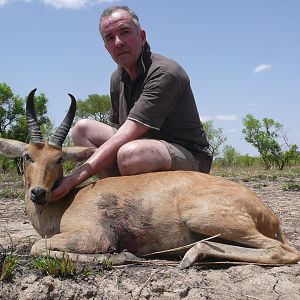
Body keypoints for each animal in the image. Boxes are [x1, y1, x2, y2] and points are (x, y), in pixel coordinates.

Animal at [0, 88, 300, 268]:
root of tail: (269, 214)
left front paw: (123, 255)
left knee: (282, 251)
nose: (39, 193)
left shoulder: (93, 234)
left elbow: (38, 246)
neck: (65, 203)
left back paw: (189, 256)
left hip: (203, 218)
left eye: (59, 159)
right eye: (27, 156)